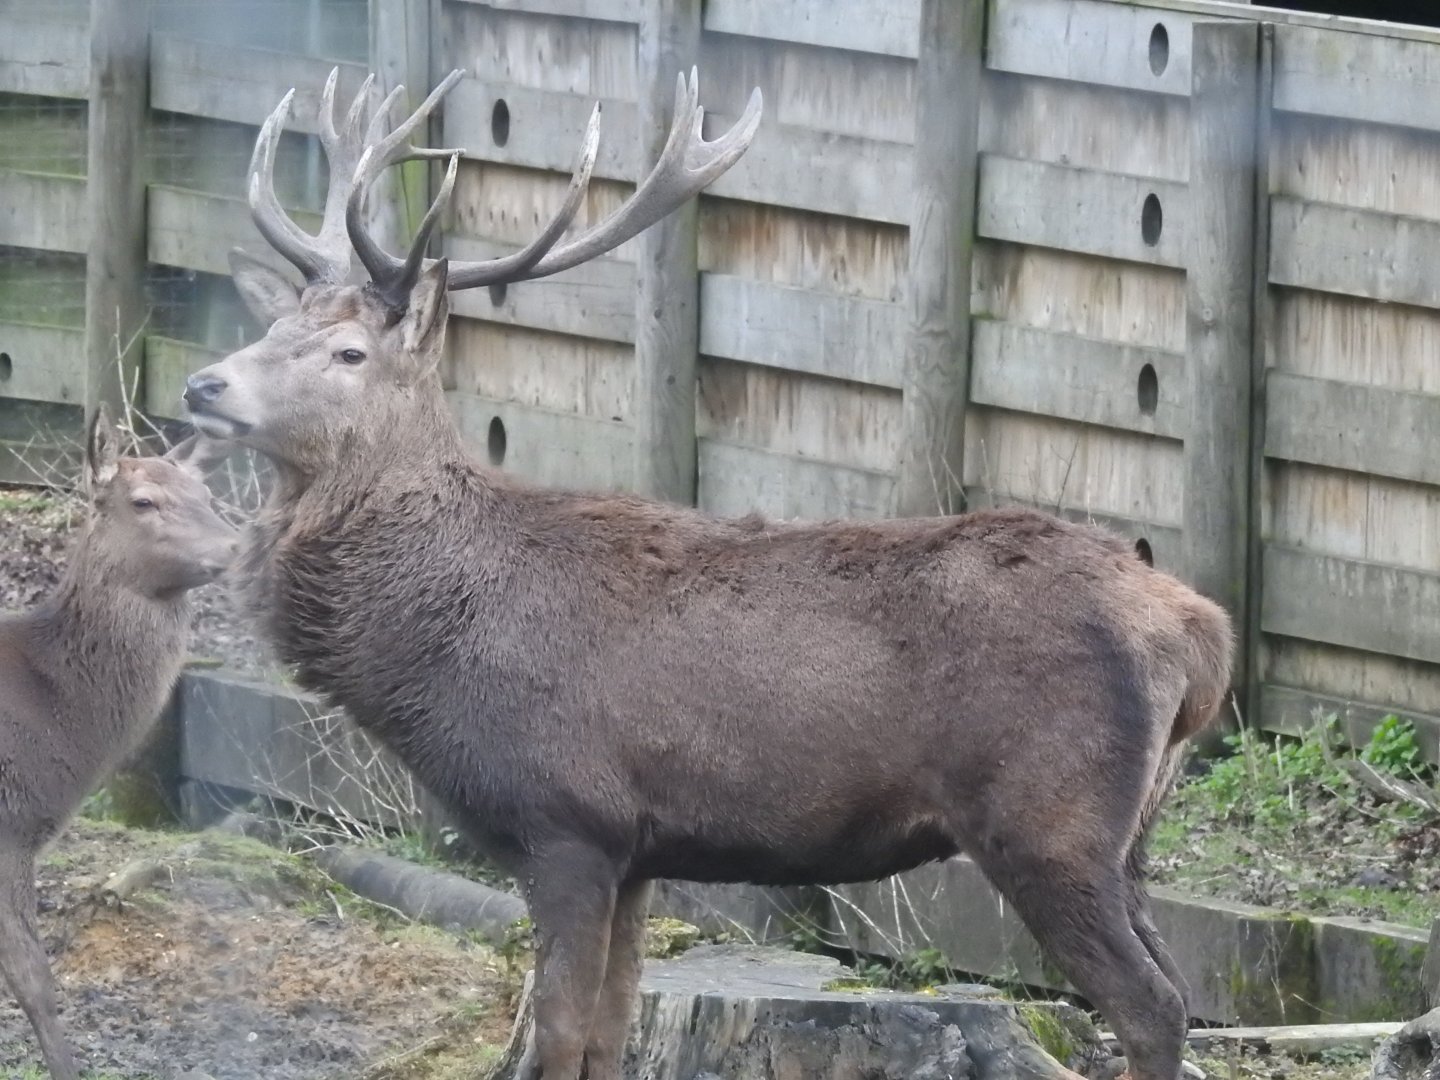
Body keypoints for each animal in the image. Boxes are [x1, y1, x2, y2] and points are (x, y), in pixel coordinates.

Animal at [178, 67, 1232, 1080]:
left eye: (349, 351)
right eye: (273, 331)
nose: (202, 384)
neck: (437, 643)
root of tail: (1199, 633)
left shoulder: (566, 819)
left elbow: (554, 1035)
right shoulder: (639, 852)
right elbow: (607, 1036)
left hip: (1049, 819)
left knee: (1152, 1005)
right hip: (1130, 838)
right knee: (1175, 986)